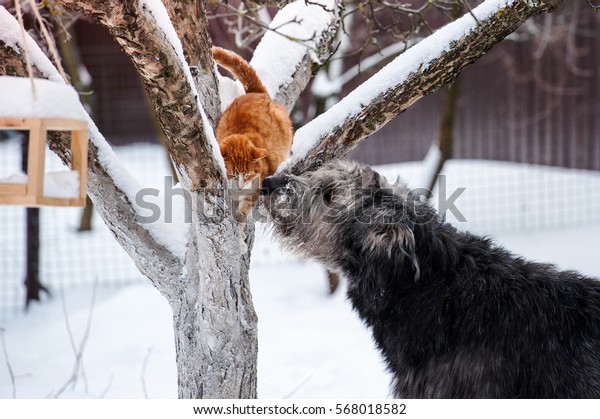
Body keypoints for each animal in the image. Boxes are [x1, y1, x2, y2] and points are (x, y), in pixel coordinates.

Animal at [213, 46, 292, 223]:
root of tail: (257, 93)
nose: (241, 186)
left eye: (248, 175)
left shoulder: (256, 185)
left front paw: (239, 225)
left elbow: (244, 209)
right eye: (233, 174)